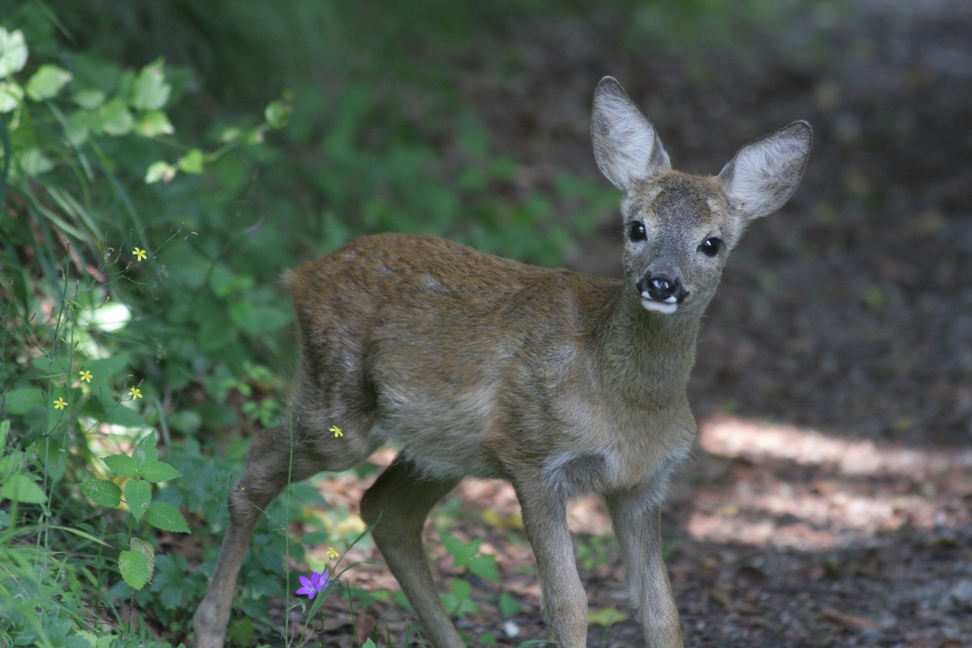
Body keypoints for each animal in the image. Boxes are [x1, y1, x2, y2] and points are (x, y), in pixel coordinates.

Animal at [192, 77, 812, 648]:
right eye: (637, 228)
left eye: (712, 242)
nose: (661, 282)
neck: (626, 402)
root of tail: (302, 274)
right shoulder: (532, 455)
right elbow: (569, 605)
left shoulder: (642, 484)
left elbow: (662, 611)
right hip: (340, 409)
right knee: (253, 472)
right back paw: (208, 626)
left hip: (444, 447)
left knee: (384, 509)